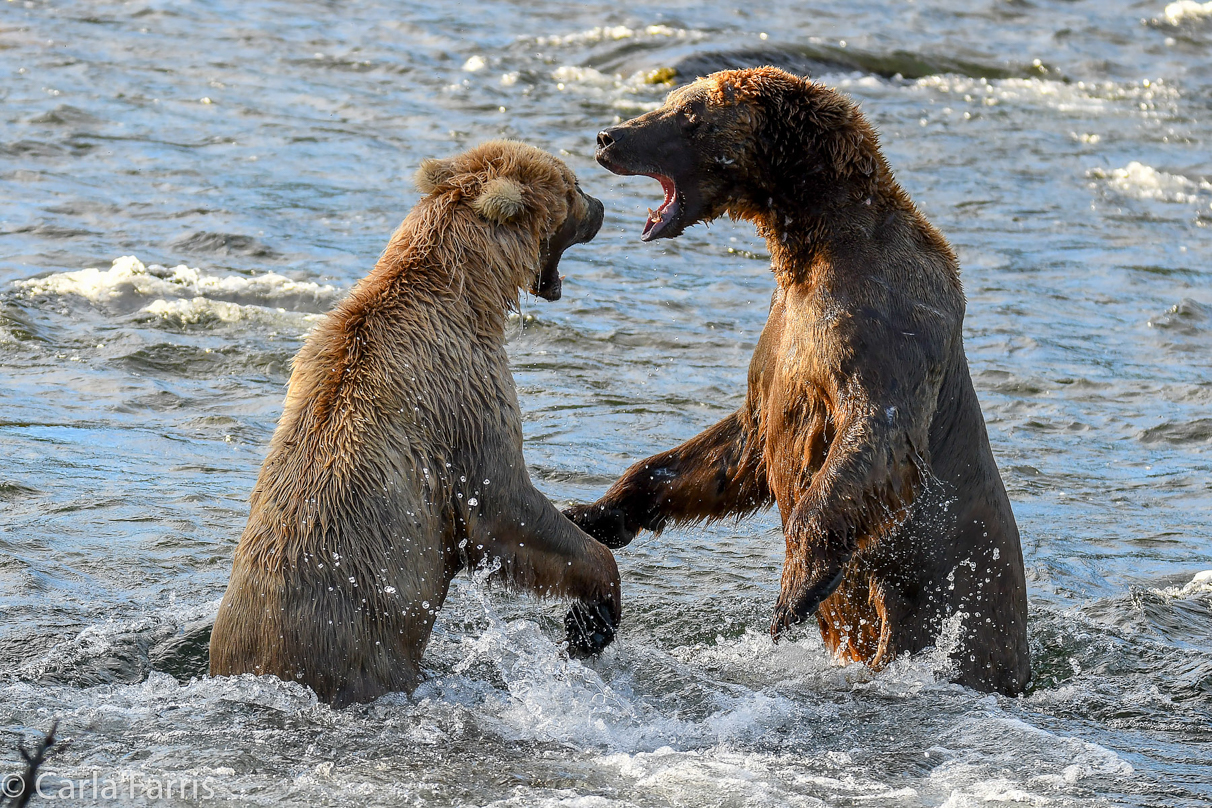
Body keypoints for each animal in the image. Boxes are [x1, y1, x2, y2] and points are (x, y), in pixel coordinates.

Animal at [209, 140, 620, 707]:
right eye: (572, 185)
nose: (601, 207)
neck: (470, 291)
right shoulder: (464, 395)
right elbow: (505, 506)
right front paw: (595, 611)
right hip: (363, 650)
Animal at [572, 67, 1027, 697]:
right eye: (672, 99)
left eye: (689, 115)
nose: (607, 136)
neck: (812, 242)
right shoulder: (779, 340)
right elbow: (738, 444)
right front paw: (593, 511)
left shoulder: (885, 326)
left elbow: (875, 436)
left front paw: (795, 590)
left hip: (952, 609)